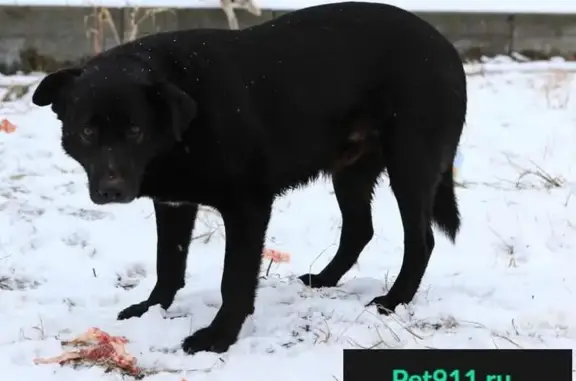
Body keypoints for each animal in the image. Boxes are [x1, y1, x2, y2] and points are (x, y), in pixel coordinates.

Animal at [31, 2, 466, 354]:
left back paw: (393, 301)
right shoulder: (173, 203)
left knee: (420, 240)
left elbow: (235, 280)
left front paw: (218, 337)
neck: (183, 121)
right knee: (360, 228)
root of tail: (446, 46)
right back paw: (324, 279)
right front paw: (151, 309)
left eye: (135, 130)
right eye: (88, 131)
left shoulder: (248, 207)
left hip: (410, 166)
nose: (111, 190)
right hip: (351, 171)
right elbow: (167, 264)